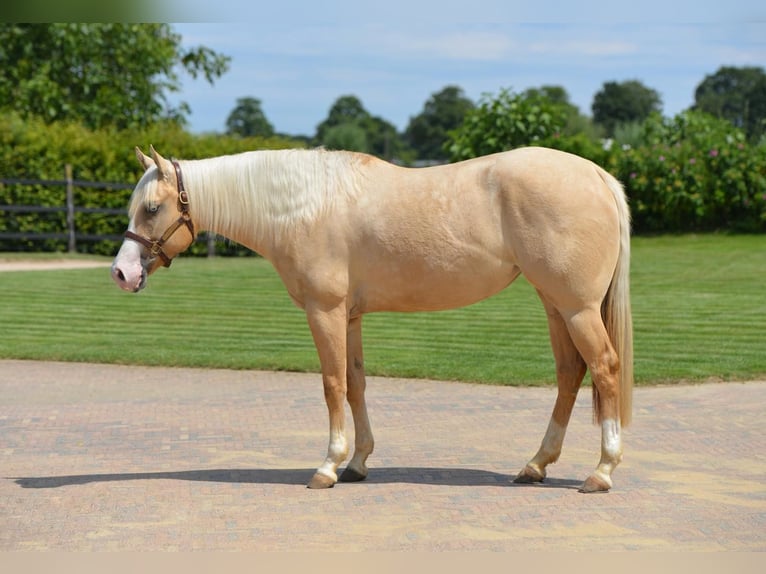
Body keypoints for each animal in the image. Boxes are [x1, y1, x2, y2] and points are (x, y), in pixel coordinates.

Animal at [111, 145, 633, 493]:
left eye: (152, 208)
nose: (122, 273)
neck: (304, 205)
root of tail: (596, 175)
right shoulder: (350, 317)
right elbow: (356, 383)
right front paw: (357, 463)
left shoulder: (324, 311)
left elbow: (332, 384)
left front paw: (327, 467)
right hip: (554, 304)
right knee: (570, 373)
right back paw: (536, 464)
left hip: (576, 308)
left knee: (604, 368)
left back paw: (601, 471)